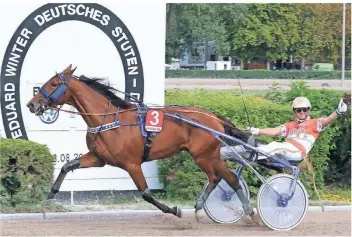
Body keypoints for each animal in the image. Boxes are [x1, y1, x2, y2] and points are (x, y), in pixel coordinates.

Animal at [26, 65, 260, 224]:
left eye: (54, 84)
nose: (31, 104)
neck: (109, 120)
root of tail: (214, 118)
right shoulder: (98, 158)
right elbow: (66, 166)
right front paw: (48, 199)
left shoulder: (131, 163)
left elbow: (146, 193)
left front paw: (174, 210)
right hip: (205, 156)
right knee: (216, 177)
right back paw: (200, 208)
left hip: (204, 155)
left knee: (228, 178)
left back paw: (250, 214)